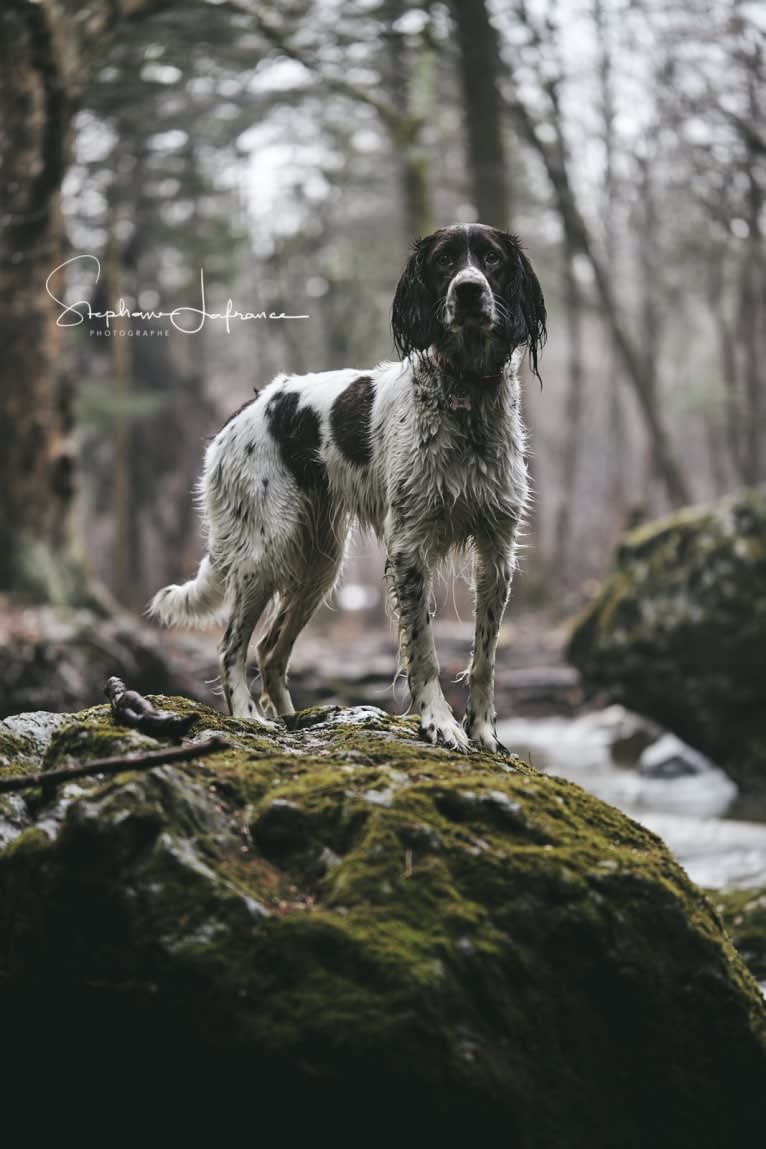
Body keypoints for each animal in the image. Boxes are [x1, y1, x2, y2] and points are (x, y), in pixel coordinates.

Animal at [149, 224, 544, 753]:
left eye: (492, 259)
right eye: (444, 260)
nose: (467, 290)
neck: (465, 397)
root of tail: (242, 412)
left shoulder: (496, 551)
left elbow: (485, 657)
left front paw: (483, 732)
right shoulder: (410, 549)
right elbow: (425, 650)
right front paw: (439, 723)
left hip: (320, 563)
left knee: (270, 649)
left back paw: (293, 719)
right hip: (265, 550)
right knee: (232, 644)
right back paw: (249, 717)